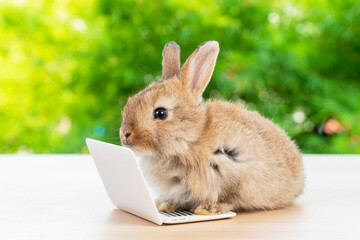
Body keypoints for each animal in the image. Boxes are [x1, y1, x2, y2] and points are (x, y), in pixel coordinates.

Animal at [120, 40, 304, 215]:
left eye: (160, 113)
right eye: (131, 101)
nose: (125, 134)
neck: (192, 138)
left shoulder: (235, 169)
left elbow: (230, 196)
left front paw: (209, 209)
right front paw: (167, 204)